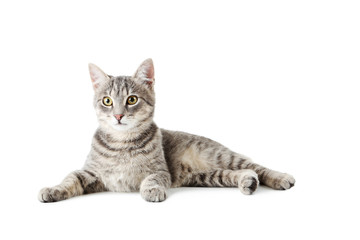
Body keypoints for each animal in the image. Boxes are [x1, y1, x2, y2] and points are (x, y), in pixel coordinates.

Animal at [38, 58, 296, 202]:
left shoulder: (160, 170)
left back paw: (281, 178)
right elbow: (70, 178)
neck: (122, 143)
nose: (118, 115)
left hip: (222, 156)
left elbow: (152, 178)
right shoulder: (92, 174)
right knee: (242, 173)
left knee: (257, 167)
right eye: (107, 101)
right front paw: (53, 190)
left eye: (132, 100)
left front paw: (151, 190)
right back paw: (247, 182)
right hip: (206, 177)